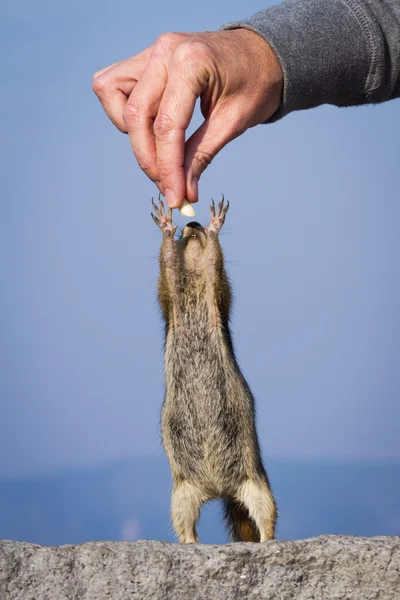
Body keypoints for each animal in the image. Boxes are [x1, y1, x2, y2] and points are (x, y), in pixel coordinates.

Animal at [152, 195, 276, 540]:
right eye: (185, 233)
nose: (192, 224)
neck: (194, 288)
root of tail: (219, 489)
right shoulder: (172, 299)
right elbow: (167, 269)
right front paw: (166, 227)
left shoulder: (216, 295)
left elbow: (216, 266)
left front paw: (214, 227)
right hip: (181, 493)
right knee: (184, 523)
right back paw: (189, 542)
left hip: (256, 483)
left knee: (265, 513)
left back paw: (267, 539)